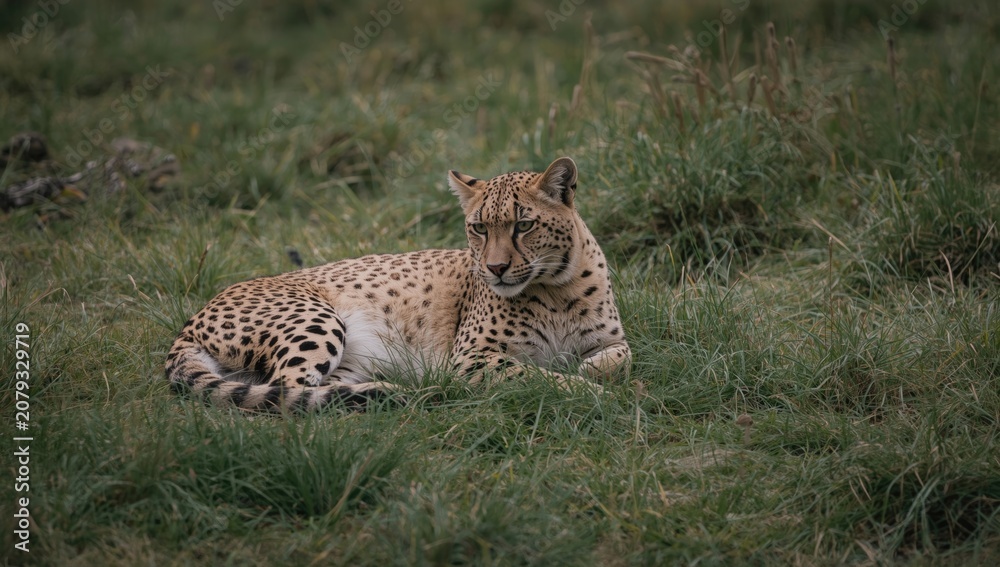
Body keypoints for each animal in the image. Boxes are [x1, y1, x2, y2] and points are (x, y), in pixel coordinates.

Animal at [165, 157, 631, 411]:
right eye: (479, 228)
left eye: (524, 225)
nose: (496, 268)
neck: (554, 288)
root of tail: (190, 321)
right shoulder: (472, 358)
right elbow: (538, 376)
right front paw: (592, 393)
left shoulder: (612, 339)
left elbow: (621, 356)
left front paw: (592, 372)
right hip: (316, 320)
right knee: (285, 390)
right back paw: (402, 391)